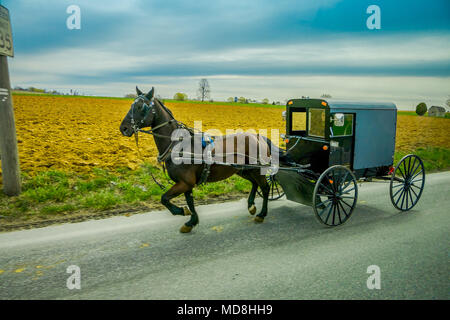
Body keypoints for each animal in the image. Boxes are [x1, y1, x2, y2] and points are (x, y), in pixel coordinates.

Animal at [118, 86, 278, 234]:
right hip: (243, 170)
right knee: (254, 183)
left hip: (257, 169)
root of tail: (258, 136)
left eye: (141, 106)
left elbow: (164, 198)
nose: (123, 128)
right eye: (132, 105)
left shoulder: (185, 182)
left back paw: (261, 214)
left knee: (265, 188)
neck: (178, 144)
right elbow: (189, 201)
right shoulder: (185, 183)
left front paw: (182, 212)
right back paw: (251, 206)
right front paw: (191, 221)